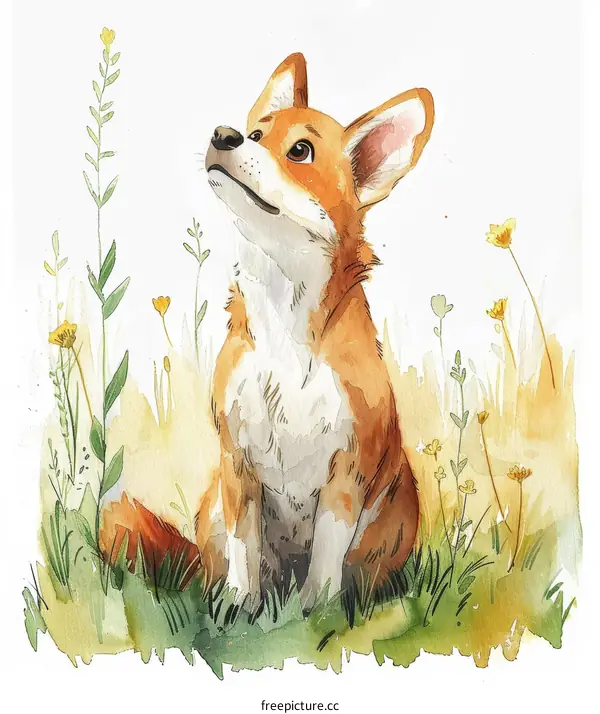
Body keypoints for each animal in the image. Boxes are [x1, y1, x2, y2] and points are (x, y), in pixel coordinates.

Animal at [100, 53, 434, 617]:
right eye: (256, 132)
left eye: (300, 150)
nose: (224, 134)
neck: (284, 319)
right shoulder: (237, 465)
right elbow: (244, 552)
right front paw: (239, 609)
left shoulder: (345, 476)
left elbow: (324, 564)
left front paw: (314, 618)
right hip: (212, 507)